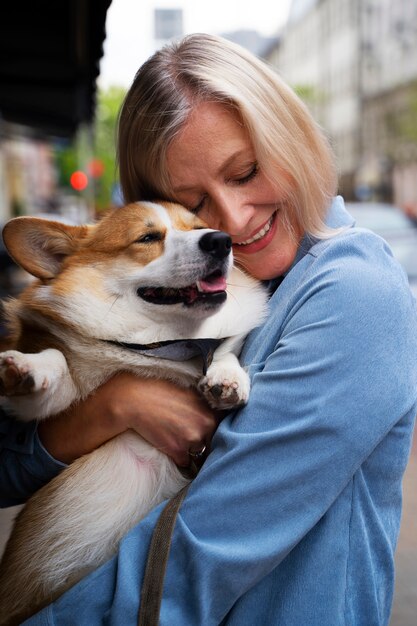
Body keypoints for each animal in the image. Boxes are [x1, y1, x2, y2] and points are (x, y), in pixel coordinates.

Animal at [0, 202, 266, 620]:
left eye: (200, 226)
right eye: (147, 237)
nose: (220, 241)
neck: (168, 345)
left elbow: (224, 350)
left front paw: (226, 379)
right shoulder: (48, 402)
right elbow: (55, 363)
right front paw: (27, 369)